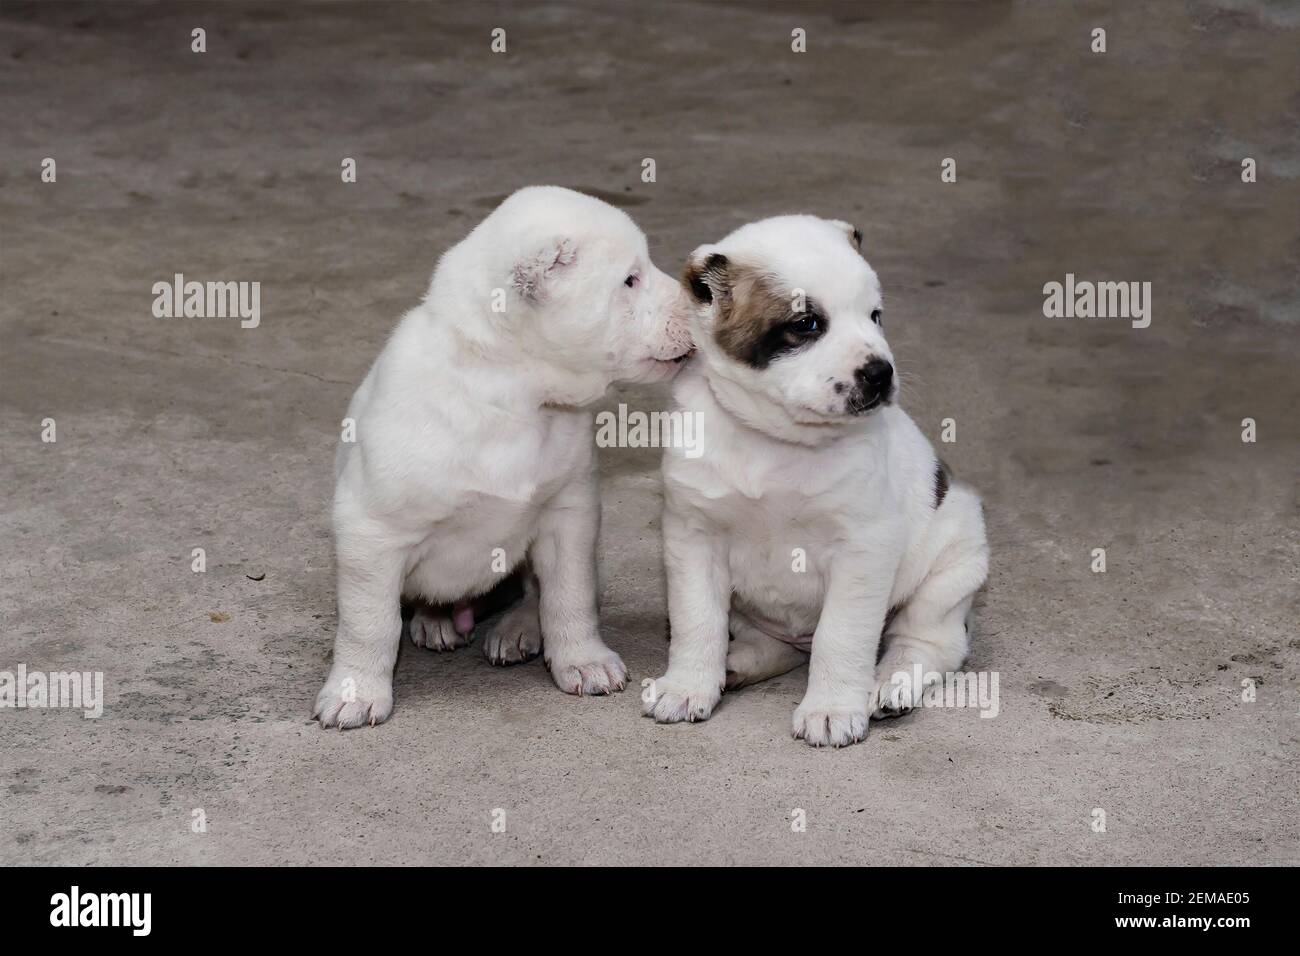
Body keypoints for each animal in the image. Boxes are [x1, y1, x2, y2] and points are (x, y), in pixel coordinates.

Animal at [315, 187, 696, 728]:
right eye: (629, 279)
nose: (700, 304)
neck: (515, 394)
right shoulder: (370, 532)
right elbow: (369, 623)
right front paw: (355, 691)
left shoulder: (569, 515)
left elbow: (569, 595)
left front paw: (583, 660)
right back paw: (434, 621)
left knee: (535, 591)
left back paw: (517, 628)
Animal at [644, 214, 987, 749]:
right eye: (806, 324)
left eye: (875, 316)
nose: (880, 373)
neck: (775, 439)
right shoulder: (692, 537)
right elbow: (696, 619)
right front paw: (688, 685)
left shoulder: (863, 549)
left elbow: (841, 634)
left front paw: (832, 708)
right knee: (769, 644)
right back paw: (735, 665)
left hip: (954, 564)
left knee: (928, 643)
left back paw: (889, 685)